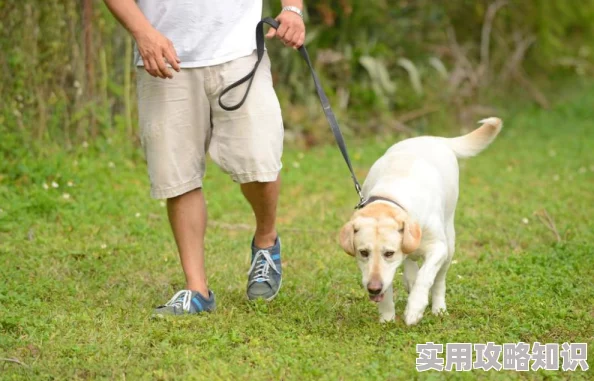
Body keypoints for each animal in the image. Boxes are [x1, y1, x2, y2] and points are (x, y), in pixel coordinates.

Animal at [338, 116, 500, 324]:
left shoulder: (438, 247)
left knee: (438, 280)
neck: (391, 196)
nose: (373, 288)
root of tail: (434, 138)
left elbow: (426, 276)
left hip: (449, 243)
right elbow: (390, 288)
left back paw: (438, 307)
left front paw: (415, 308)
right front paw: (387, 317)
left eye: (389, 253)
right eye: (363, 252)